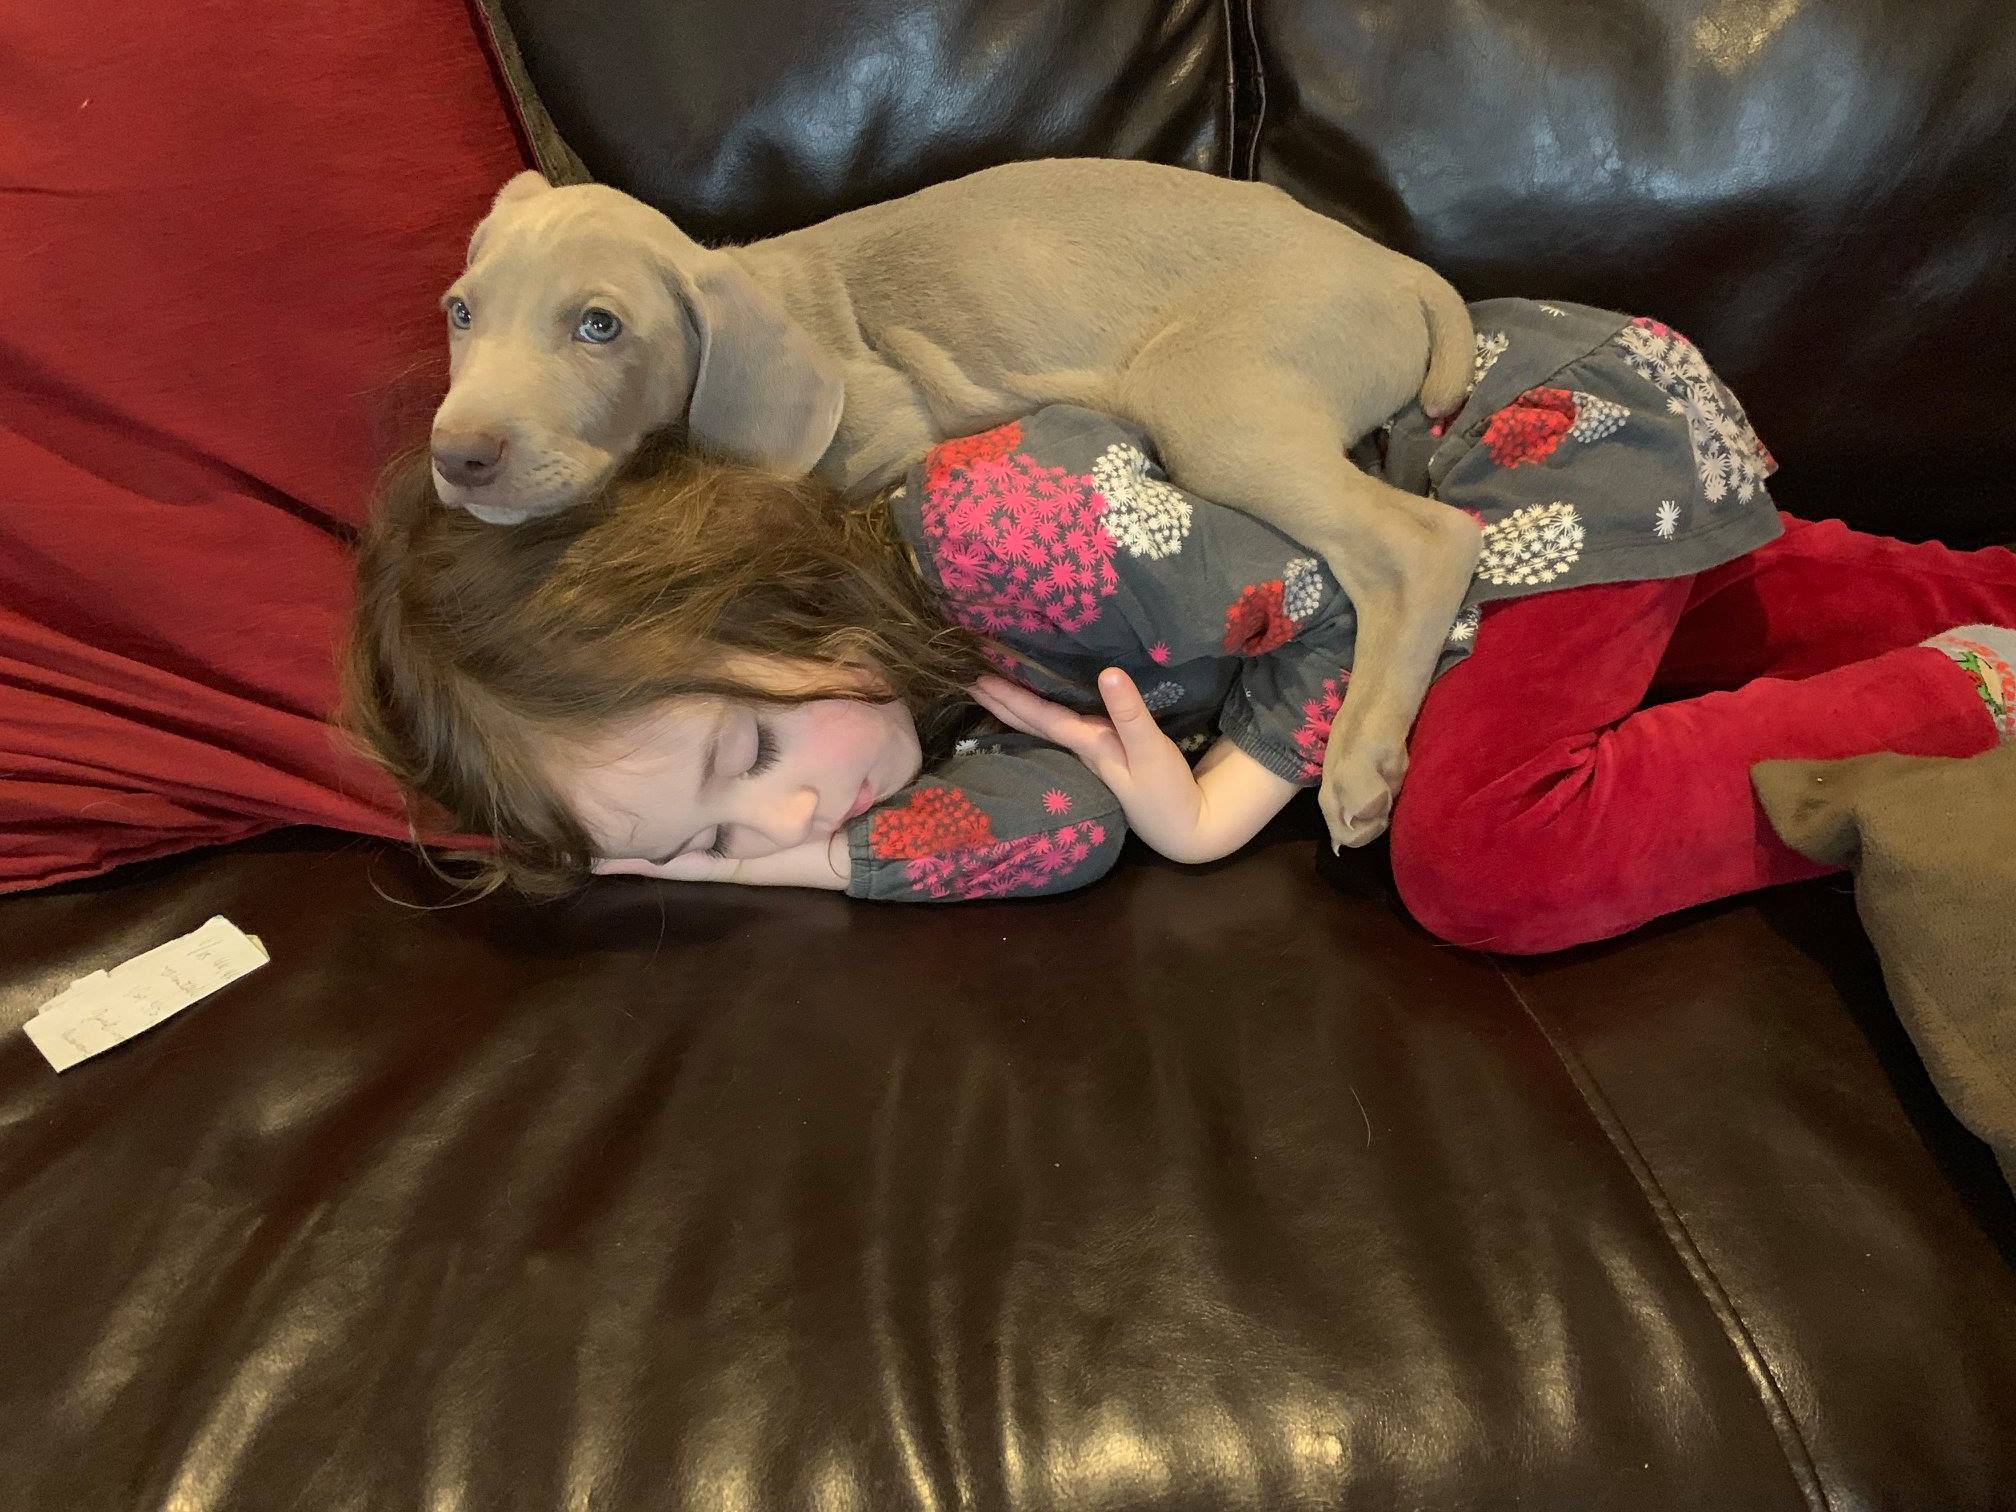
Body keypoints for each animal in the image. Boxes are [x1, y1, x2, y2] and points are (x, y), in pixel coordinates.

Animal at [429, 158, 1481, 846]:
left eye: (600, 327)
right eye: (460, 312)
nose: (457, 455)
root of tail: (1396, 267)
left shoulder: (895, 441)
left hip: (1204, 392)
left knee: (1425, 540)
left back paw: (1360, 763)